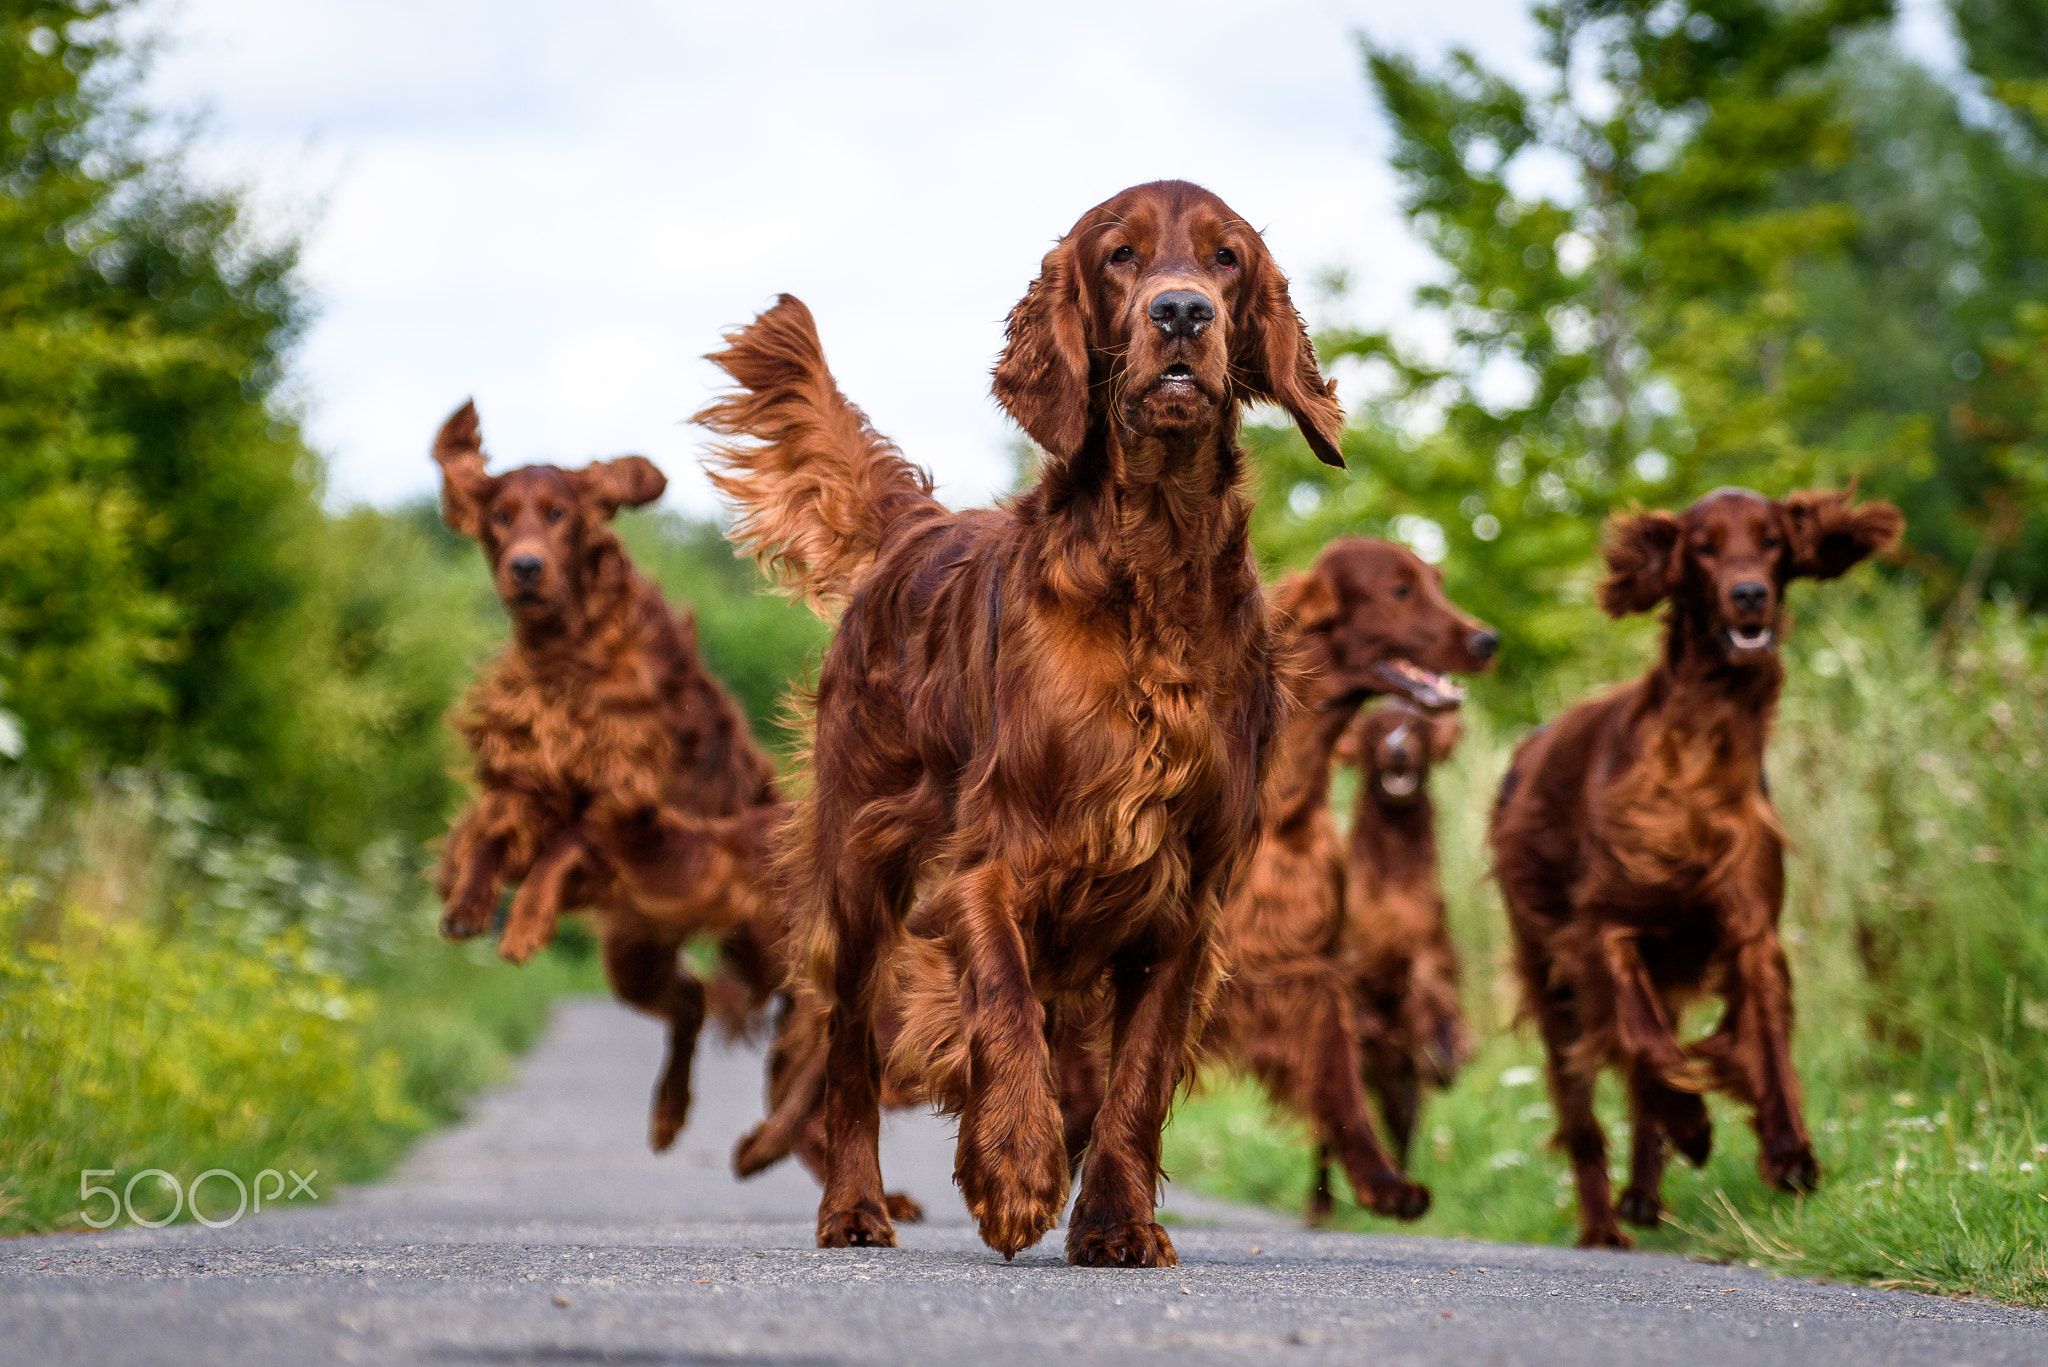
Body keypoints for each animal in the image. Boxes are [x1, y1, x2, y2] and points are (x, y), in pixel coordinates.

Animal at [428, 405, 786, 1155]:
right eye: (500, 515)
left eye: (558, 512)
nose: (525, 567)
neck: (567, 649)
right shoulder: (529, 774)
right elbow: (494, 832)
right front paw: (468, 901)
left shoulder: (627, 793)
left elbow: (567, 844)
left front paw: (525, 924)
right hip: (635, 953)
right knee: (689, 1001)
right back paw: (668, 1115)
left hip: (750, 942)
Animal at [1490, 485, 1900, 1246]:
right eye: (1704, 546)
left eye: (1771, 540)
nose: (1749, 595)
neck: (1702, 748)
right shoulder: (1604, 928)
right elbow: (1648, 1047)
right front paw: (1691, 1123)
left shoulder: (1750, 927)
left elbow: (1761, 1039)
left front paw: (1789, 1151)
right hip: (1551, 979)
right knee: (1586, 1112)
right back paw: (1604, 1223)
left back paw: (1643, 1194)